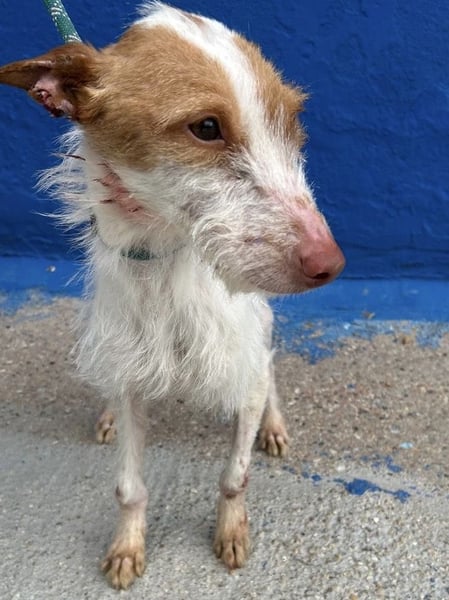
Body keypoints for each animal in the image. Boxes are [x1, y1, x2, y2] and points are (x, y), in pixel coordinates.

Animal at [0, 1, 345, 589]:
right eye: (206, 127)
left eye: (292, 122)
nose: (331, 265)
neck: (165, 263)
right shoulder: (129, 379)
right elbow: (128, 487)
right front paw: (127, 547)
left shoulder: (242, 369)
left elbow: (235, 475)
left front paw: (231, 530)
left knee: (271, 370)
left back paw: (274, 424)